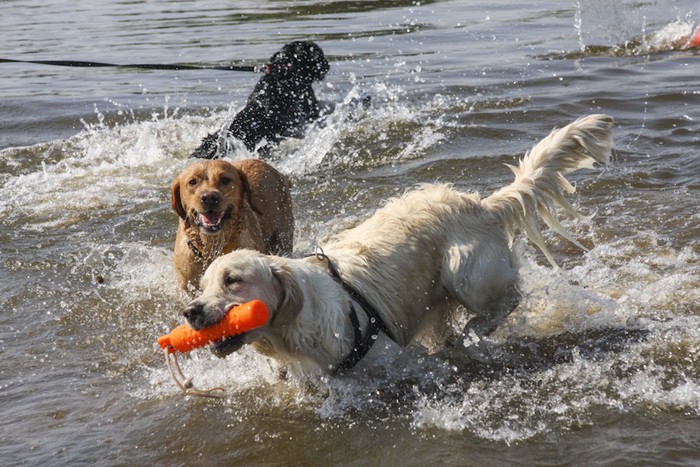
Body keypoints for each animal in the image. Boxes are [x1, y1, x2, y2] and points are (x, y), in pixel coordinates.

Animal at [185, 116, 612, 372]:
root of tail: (482, 204)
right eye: (201, 287)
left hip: (465, 272)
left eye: (234, 280)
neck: (295, 331)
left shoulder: (387, 358)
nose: (190, 312)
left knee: (509, 297)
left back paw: (474, 330)